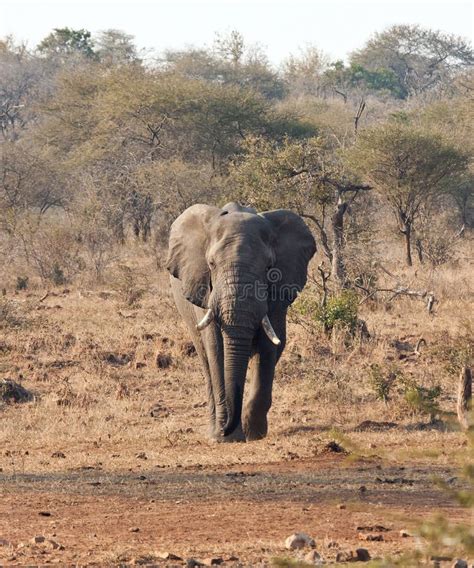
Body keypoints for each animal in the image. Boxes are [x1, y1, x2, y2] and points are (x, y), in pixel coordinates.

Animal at [165, 202, 316, 442]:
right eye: (211, 264)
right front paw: (226, 438)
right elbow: (216, 350)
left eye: (269, 267)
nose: (228, 428)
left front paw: (254, 434)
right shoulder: (205, 292)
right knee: (205, 360)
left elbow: (267, 348)